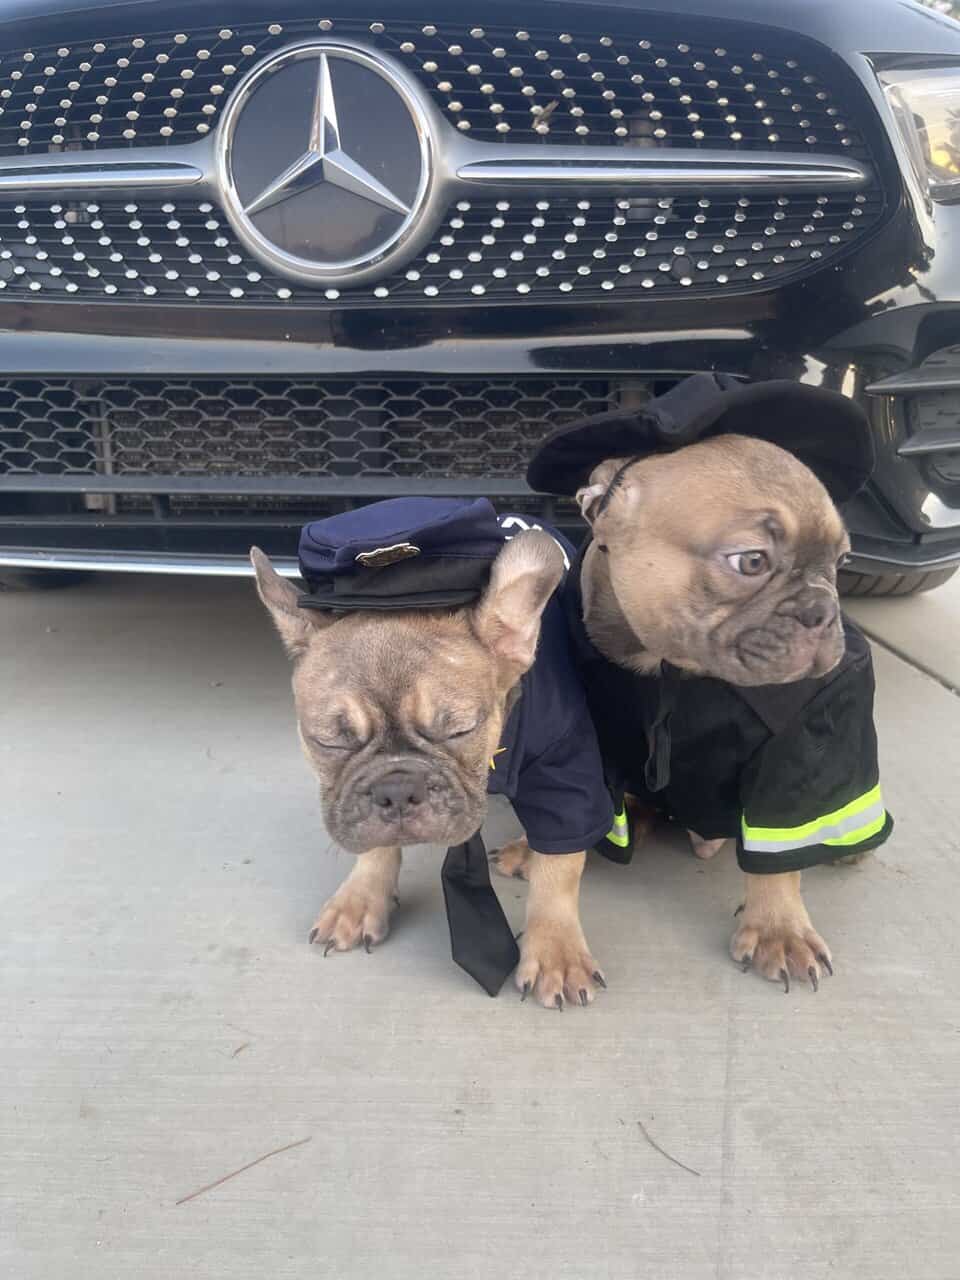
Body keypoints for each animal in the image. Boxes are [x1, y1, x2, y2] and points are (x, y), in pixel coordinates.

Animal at [250, 498, 615, 1008]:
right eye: (330, 740)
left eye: (459, 728)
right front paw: (361, 897)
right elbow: (372, 842)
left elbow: (561, 864)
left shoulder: (563, 766)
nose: (398, 789)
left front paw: (555, 951)